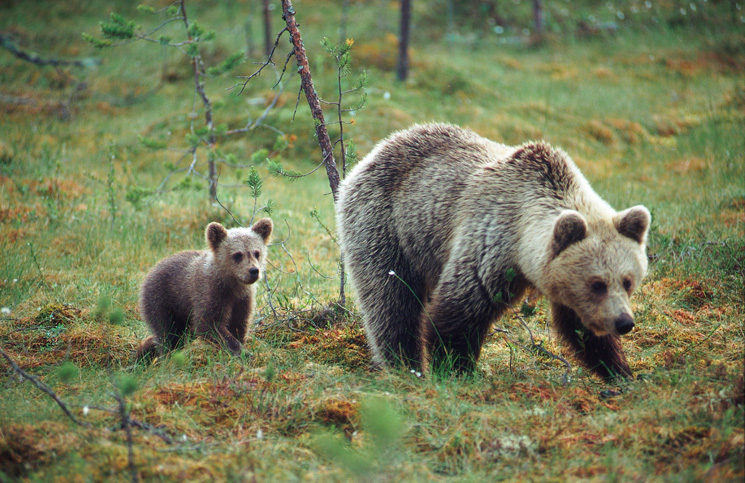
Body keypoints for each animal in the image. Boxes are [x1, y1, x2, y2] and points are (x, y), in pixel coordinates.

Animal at [136, 218, 273, 359]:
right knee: (167, 333)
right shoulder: (210, 292)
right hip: (162, 299)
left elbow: (239, 323)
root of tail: (152, 270)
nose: (254, 271)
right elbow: (209, 324)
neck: (232, 284)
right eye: (237, 255)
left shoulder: (243, 299)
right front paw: (241, 351)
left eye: (257, 252)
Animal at [336, 123, 650, 380]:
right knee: (392, 300)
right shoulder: (489, 242)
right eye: (597, 283)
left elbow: (579, 327)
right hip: (387, 225)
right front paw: (455, 369)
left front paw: (620, 370)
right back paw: (404, 365)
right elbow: (459, 312)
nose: (624, 322)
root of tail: (375, 151)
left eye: (628, 281)